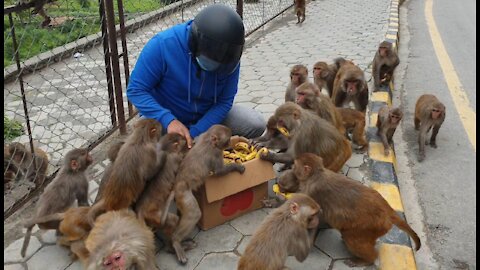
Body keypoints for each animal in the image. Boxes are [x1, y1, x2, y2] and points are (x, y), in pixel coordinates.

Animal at [171, 125, 246, 264]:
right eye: (227, 139)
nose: (229, 144)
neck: (207, 140)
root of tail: (177, 183)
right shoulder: (215, 153)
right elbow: (220, 172)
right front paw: (237, 167)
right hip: (184, 194)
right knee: (194, 214)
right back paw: (176, 241)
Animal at [288, 153, 420, 266]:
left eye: (295, 164)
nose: (291, 167)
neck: (316, 175)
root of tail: (387, 209)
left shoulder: (311, 192)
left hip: (371, 225)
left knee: (352, 238)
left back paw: (367, 260)